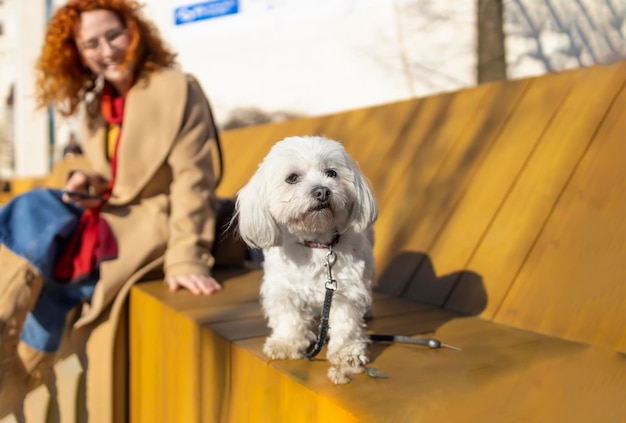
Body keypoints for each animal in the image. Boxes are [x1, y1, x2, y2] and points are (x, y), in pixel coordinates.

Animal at [234, 136, 376, 384]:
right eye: (292, 178)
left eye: (331, 173)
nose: (322, 191)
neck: (316, 244)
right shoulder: (281, 288)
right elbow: (288, 318)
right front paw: (286, 343)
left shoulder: (346, 290)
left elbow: (346, 324)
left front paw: (347, 353)